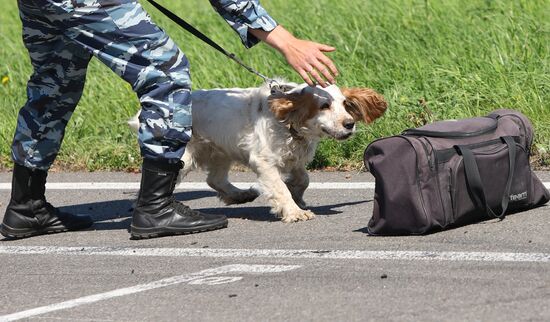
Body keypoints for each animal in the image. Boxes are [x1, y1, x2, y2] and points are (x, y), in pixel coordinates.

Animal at [130, 81, 388, 221]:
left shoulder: (294, 158)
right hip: (184, 154)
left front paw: (298, 197)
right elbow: (279, 188)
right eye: (324, 105)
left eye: (345, 105)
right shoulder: (263, 161)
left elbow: (303, 179)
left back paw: (239, 194)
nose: (349, 124)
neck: (287, 124)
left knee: (215, 179)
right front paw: (294, 211)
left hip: (221, 150)